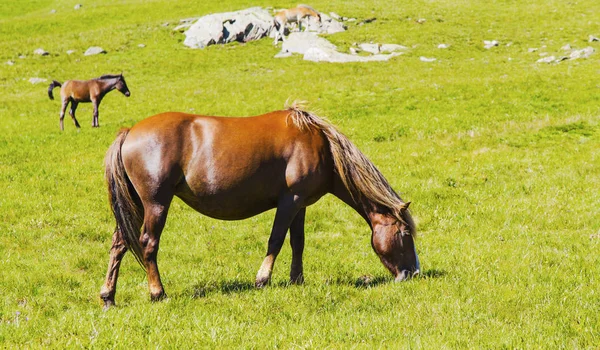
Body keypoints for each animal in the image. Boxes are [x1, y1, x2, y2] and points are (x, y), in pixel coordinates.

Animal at [99, 104, 418, 308]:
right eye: (404, 234)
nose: (412, 274)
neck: (320, 145)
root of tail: (129, 132)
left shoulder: (301, 205)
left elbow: (298, 241)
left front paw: (297, 279)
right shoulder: (290, 201)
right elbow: (276, 239)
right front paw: (263, 279)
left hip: (136, 205)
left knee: (119, 244)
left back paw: (108, 296)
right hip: (155, 204)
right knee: (147, 243)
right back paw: (158, 293)